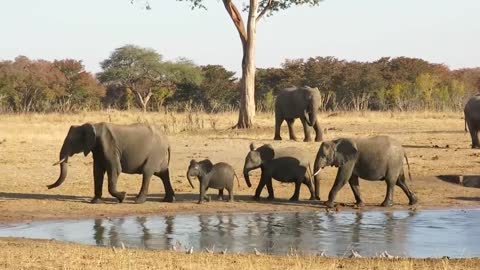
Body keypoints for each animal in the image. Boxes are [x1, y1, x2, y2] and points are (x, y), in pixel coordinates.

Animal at [47, 121, 175, 204]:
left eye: (71, 142)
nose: (47, 186)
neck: (93, 125)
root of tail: (167, 140)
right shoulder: (97, 148)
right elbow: (97, 171)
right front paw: (95, 201)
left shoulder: (109, 145)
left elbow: (115, 169)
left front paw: (123, 196)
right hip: (159, 154)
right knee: (163, 173)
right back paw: (168, 200)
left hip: (155, 152)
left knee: (147, 172)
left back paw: (138, 201)